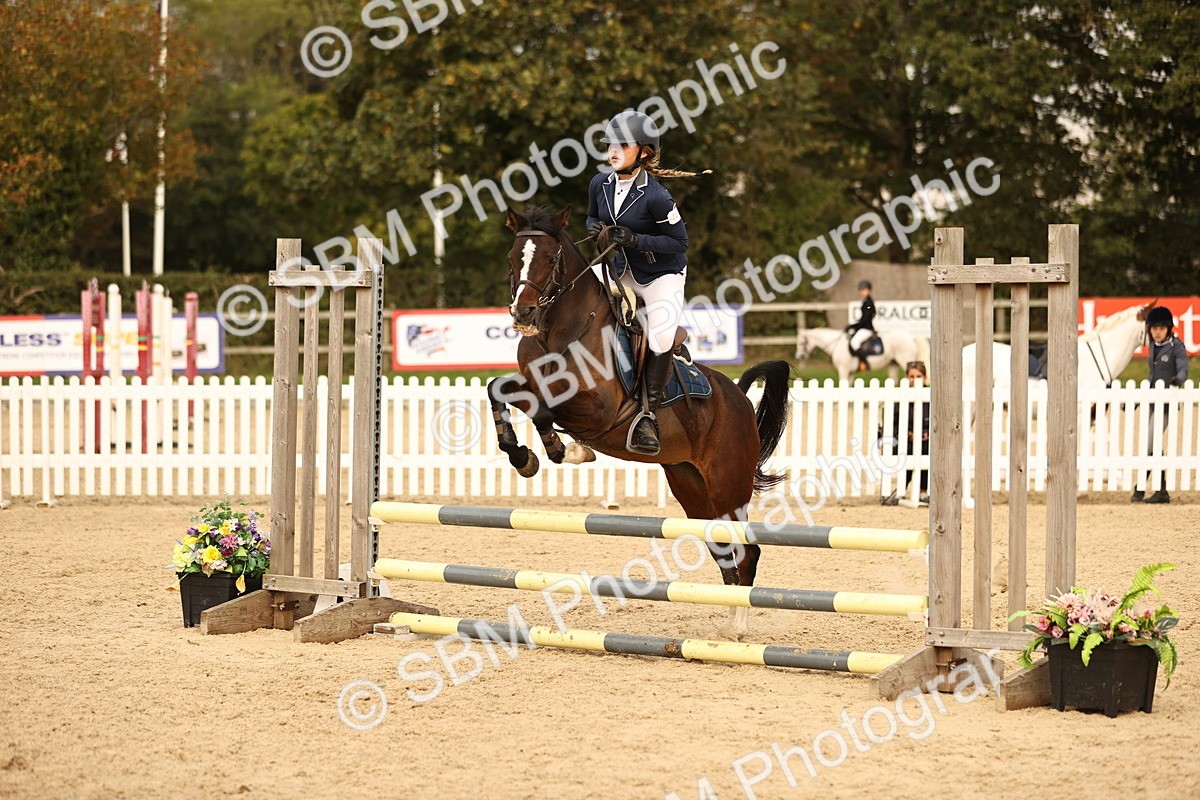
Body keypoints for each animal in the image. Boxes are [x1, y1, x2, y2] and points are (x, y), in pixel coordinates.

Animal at [487, 205, 792, 641]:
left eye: (549, 258)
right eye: (513, 258)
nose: (522, 313)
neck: (559, 333)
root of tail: (737, 399)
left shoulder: (597, 410)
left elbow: (544, 409)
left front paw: (566, 449)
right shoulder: (528, 382)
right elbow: (499, 390)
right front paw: (521, 456)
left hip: (727, 486)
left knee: (746, 551)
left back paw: (737, 629)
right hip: (691, 487)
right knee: (724, 553)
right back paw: (729, 622)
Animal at [795, 327, 931, 384]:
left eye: (801, 343)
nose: (798, 357)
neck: (836, 344)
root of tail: (911, 337)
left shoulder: (844, 370)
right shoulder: (850, 372)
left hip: (905, 361)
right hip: (893, 364)